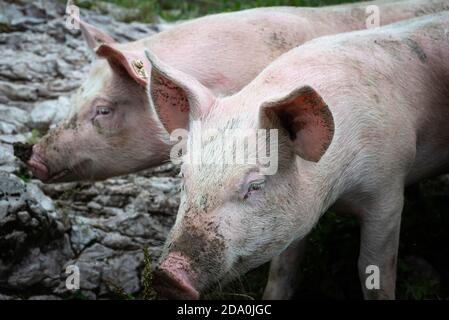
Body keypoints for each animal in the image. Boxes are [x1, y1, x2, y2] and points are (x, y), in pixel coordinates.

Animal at [146, 10, 448, 300]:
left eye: (255, 185)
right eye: (183, 176)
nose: (168, 274)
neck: (337, 194)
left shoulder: (387, 188)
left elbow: (373, 269)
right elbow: (283, 269)